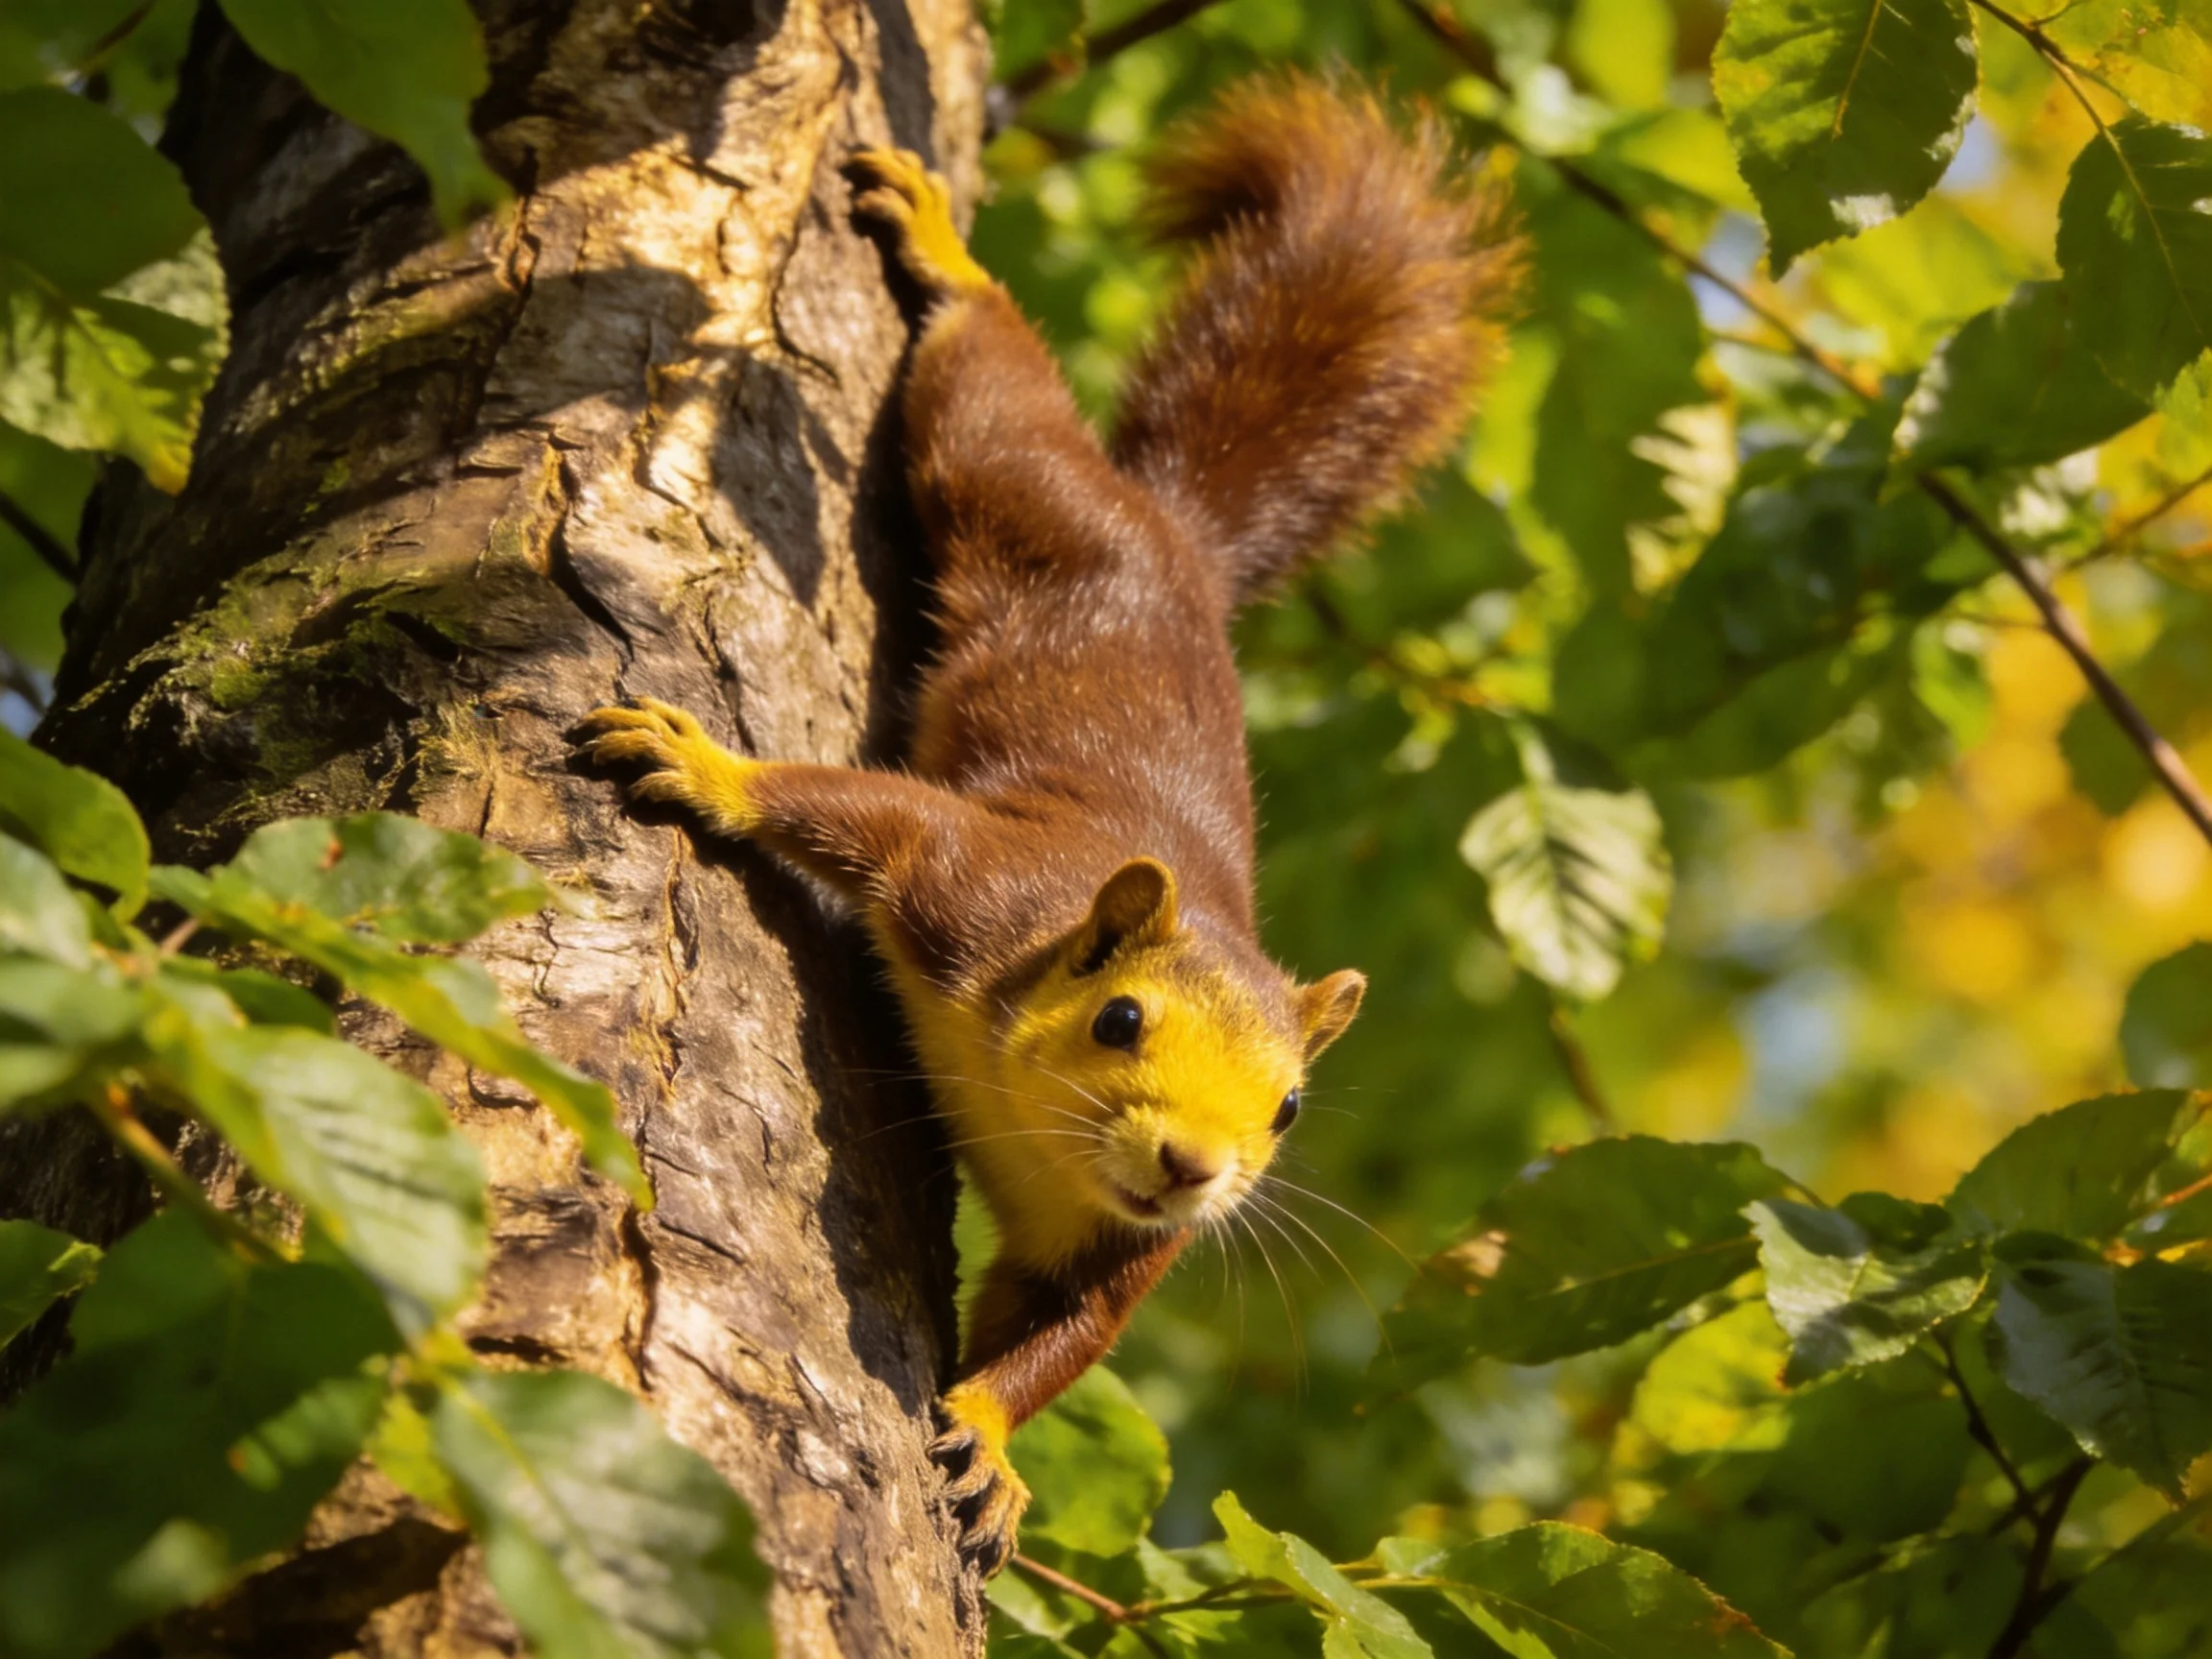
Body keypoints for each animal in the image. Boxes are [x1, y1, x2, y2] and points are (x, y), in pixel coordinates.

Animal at [578, 75, 1518, 1576]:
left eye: (1289, 1109)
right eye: (1120, 1019)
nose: (1191, 1167)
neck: (1036, 1128)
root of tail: (1179, 540)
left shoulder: (1129, 1251)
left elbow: (1065, 1341)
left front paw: (988, 1442)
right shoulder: (975, 882)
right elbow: (859, 809)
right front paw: (711, 769)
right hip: (1017, 484)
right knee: (993, 396)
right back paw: (947, 256)